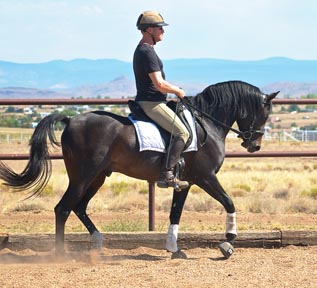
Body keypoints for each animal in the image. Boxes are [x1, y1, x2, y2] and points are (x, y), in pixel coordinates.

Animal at [0, 80, 276, 258]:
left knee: (79, 207)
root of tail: (70, 119)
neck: (206, 123)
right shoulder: (205, 176)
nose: (255, 145)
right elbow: (229, 202)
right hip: (82, 177)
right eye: (263, 114)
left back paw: (97, 241)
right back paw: (60, 254)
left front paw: (174, 249)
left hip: (97, 177)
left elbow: (175, 213)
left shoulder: (186, 181)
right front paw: (228, 243)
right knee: (63, 209)